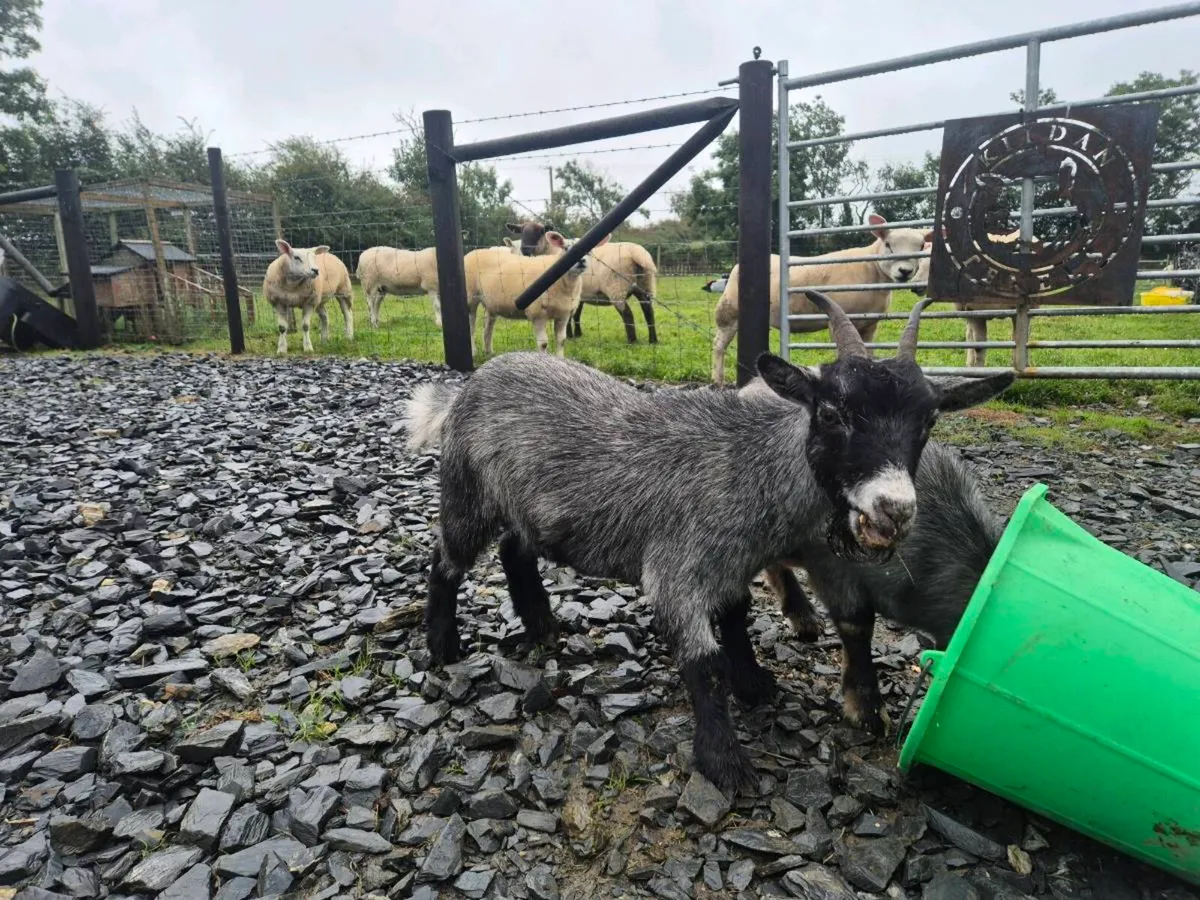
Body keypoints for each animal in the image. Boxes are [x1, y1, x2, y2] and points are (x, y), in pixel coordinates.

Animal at [403, 293, 1013, 794]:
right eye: (831, 411)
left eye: (929, 419)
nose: (894, 510)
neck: (751, 465)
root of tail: (473, 382)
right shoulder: (679, 567)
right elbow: (702, 660)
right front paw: (725, 763)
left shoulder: (733, 564)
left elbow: (737, 619)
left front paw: (754, 684)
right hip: (467, 492)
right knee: (446, 561)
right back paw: (444, 645)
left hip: (525, 506)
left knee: (515, 550)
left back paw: (542, 626)